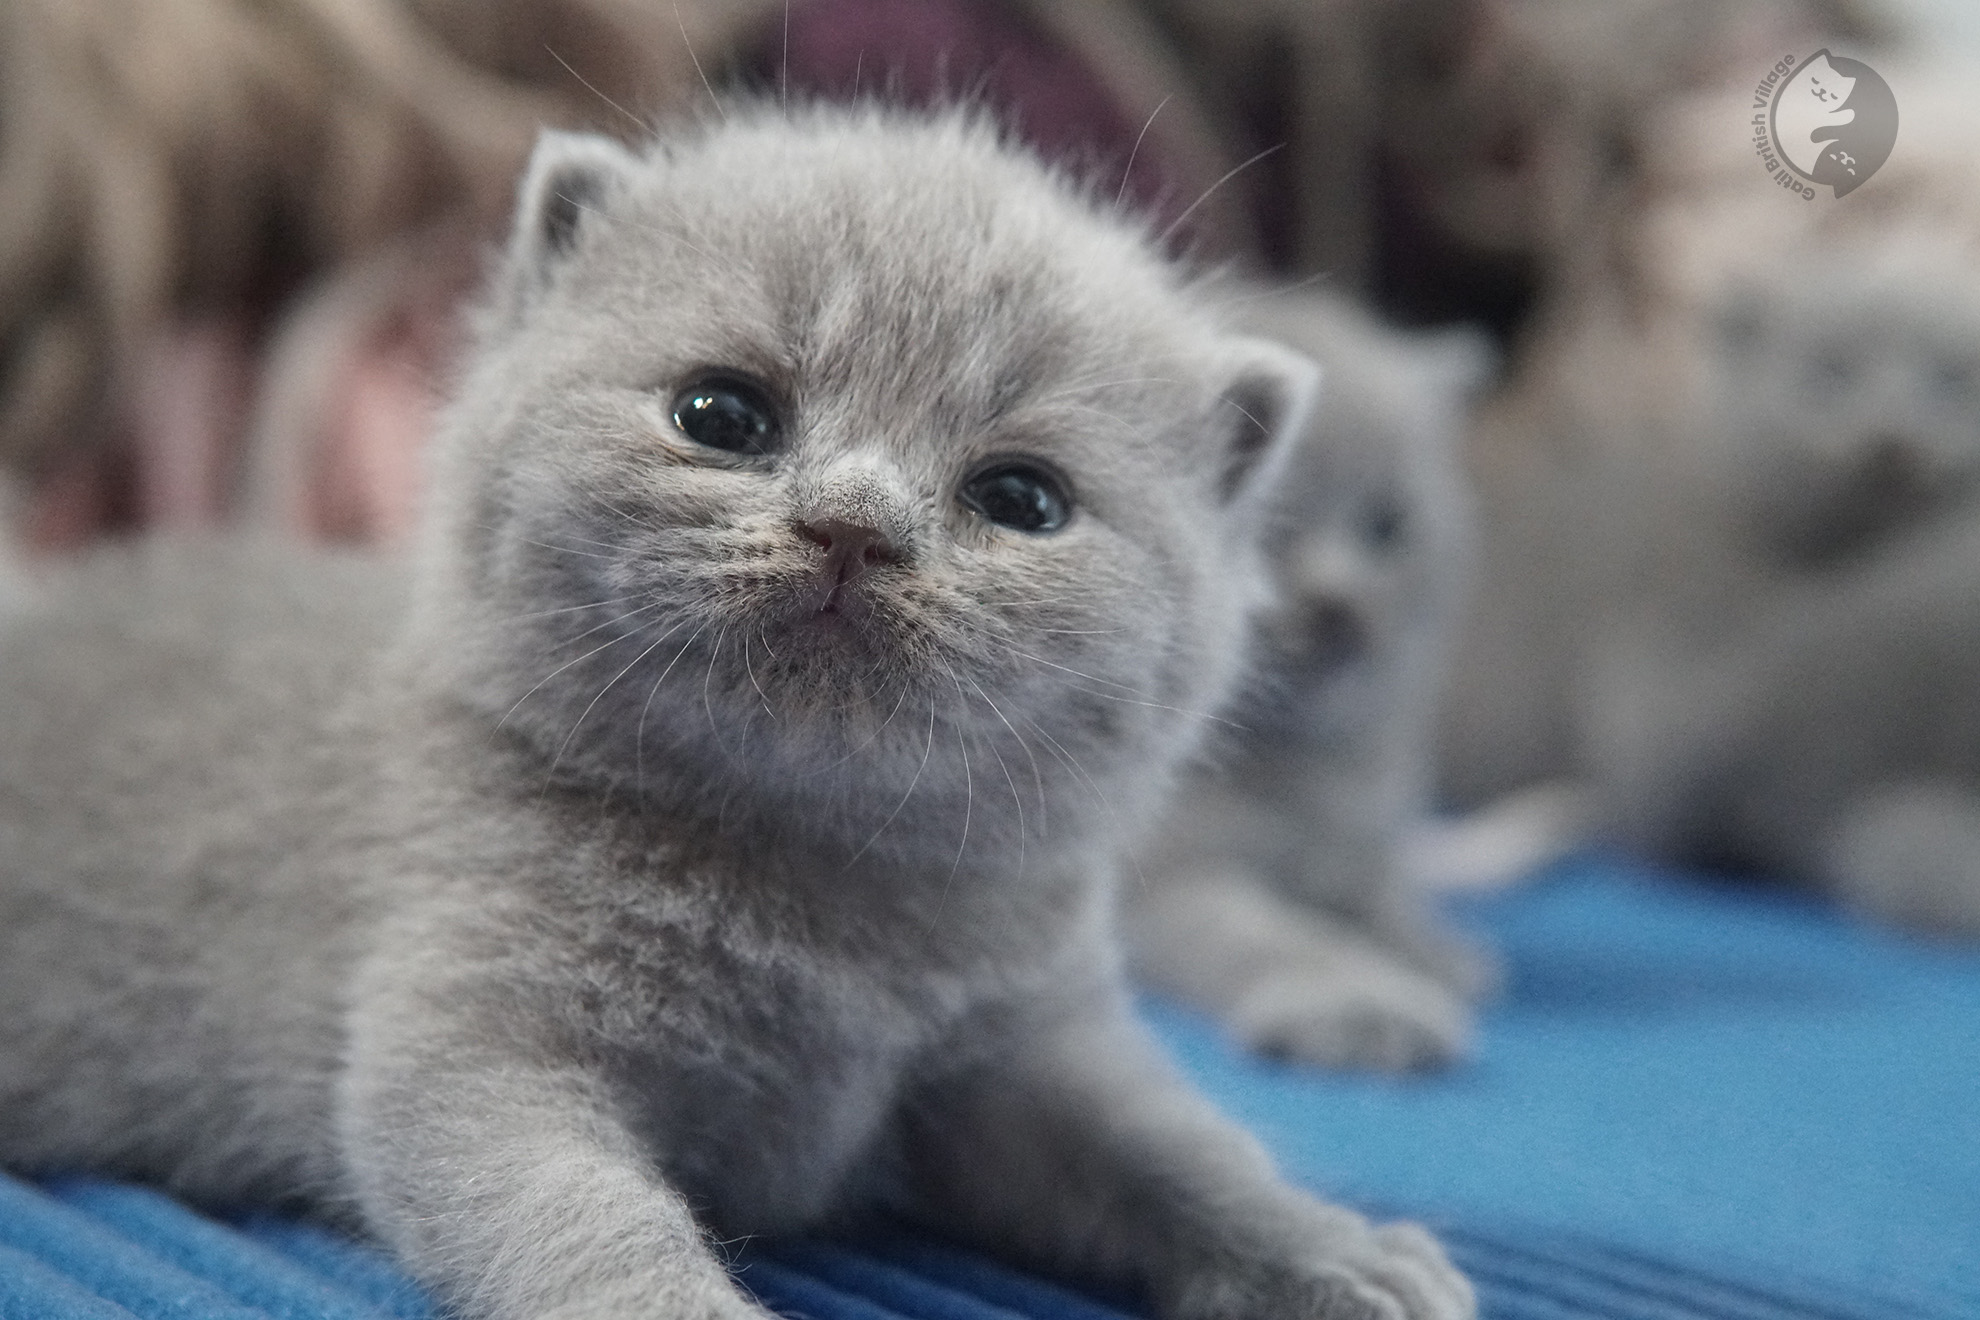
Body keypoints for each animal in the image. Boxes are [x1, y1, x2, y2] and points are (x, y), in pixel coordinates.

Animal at [1124, 290, 1488, 1076]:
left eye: (1387, 525)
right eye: (1274, 533)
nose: (1338, 606)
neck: (1302, 776)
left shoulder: (1359, 834)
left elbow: (1377, 888)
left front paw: (1428, 946)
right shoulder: (1168, 883)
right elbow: (1267, 935)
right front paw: (1354, 1002)